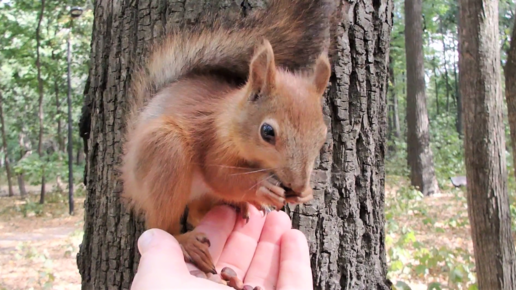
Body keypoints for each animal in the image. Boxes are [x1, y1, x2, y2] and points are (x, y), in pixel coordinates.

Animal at [119, 0, 332, 276]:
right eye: (267, 132)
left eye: (323, 135)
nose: (296, 185)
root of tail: (130, 175)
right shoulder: (214, 141)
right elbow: (219, 176)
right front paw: (261, 186)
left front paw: (305, 193)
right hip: (166, 150)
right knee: (162, 223)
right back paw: (185, 241)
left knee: (197, 213)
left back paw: (237, 205)